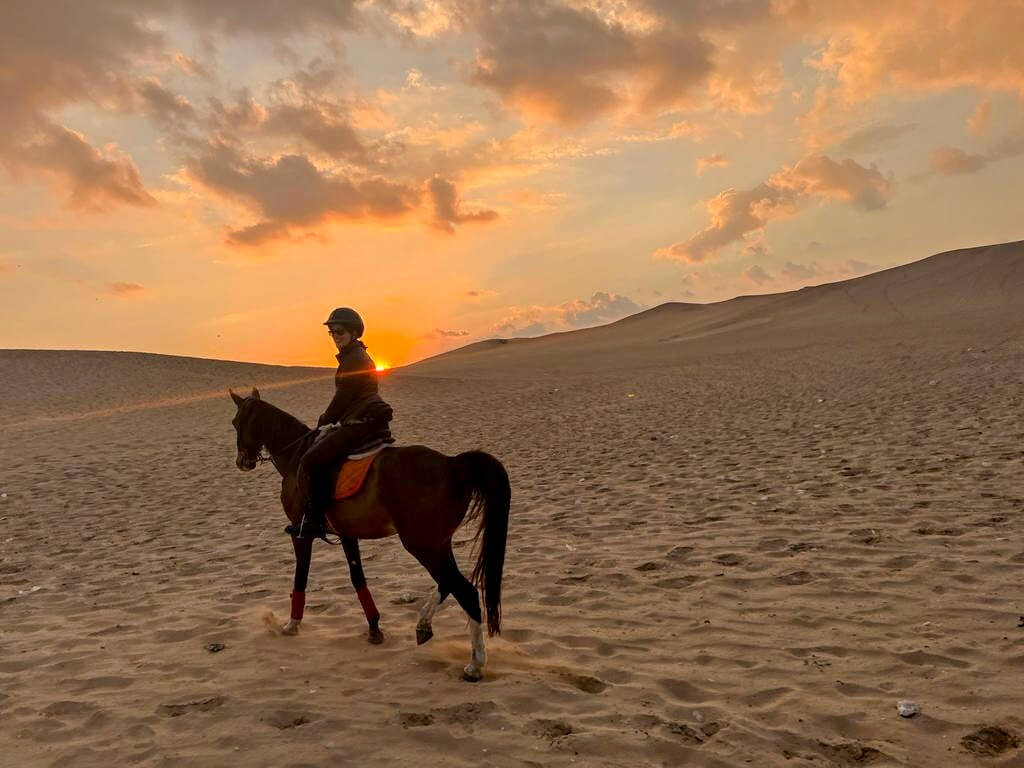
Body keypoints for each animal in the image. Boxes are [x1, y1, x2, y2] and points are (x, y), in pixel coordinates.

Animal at [228, 387, 507, 684]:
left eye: (236, 422)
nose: (242, 462)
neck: (295, 455)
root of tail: (452, 465)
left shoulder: (301, 534)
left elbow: (300, 577)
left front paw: (292, 625)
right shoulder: (348, 535)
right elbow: (357, 578)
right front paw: (374, 628)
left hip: (422, 544)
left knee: (465, 590)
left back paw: (475, 664)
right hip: (437, 543)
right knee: (450, 583)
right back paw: (424, 625)